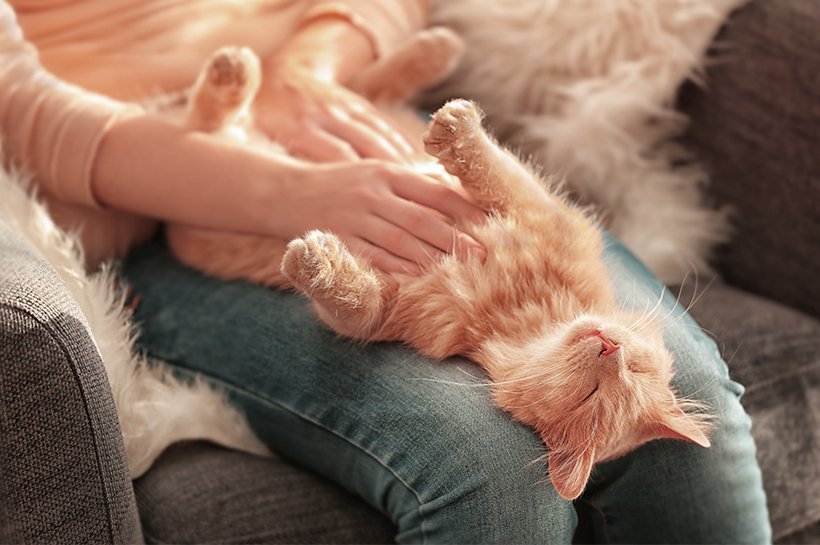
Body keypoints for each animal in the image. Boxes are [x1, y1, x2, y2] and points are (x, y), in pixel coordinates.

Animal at [162, 38, 712, 500]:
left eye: (595, 394)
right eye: (632, 368)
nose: (609, 346)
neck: (515, 312)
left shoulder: (388, 312)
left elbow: (351, 298)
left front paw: (317, 261)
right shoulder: (546, 214)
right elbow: (495, 169)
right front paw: (458, 129)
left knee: (209, 126)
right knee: (336, 95)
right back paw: (428, 50)